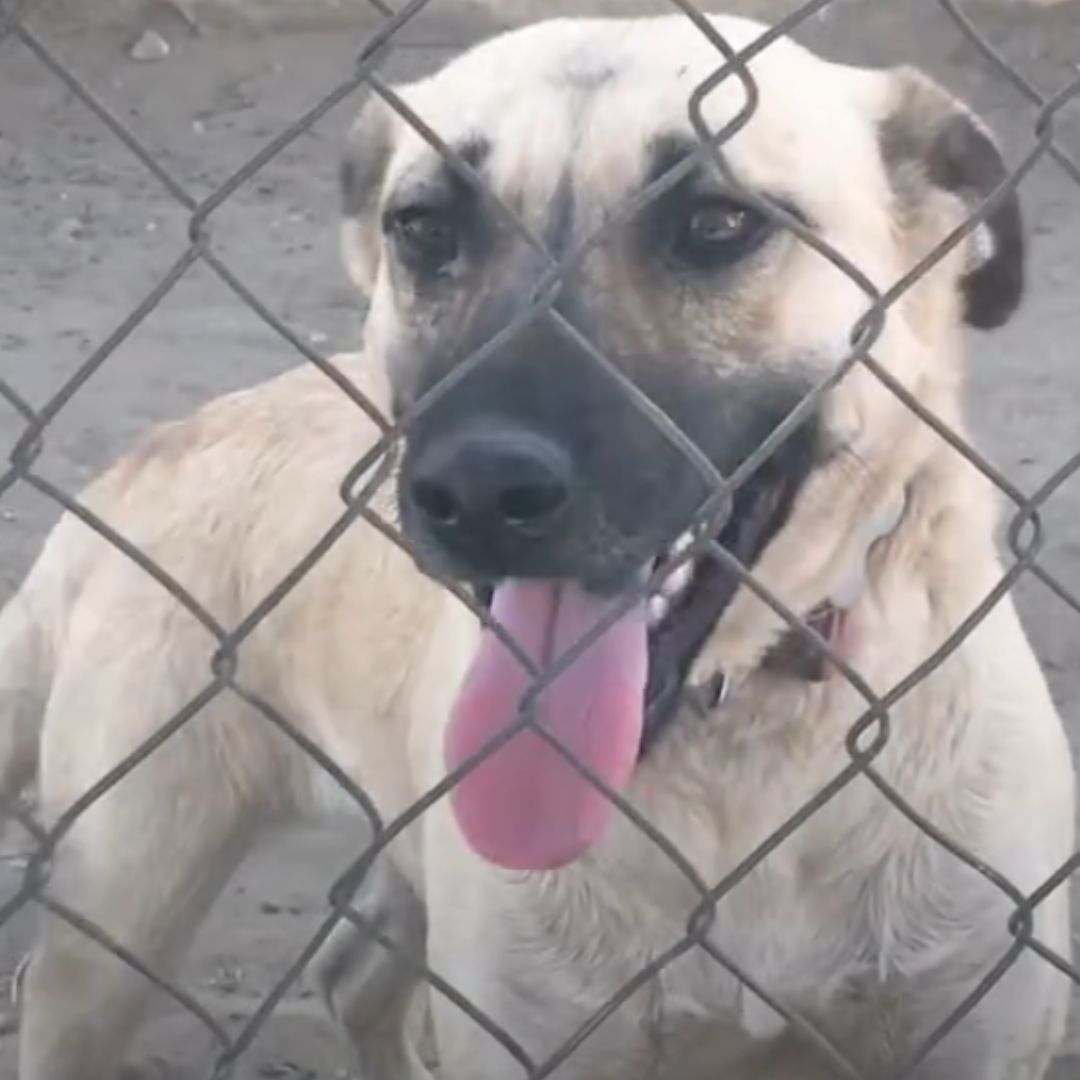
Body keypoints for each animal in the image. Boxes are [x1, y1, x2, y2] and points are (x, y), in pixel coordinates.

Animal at [0, 10, 1075, 1080]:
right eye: (423, 228)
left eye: (716, 223)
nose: (477, 490)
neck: (738, 746)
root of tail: (132, 466)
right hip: (116, 920)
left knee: (355, 979)